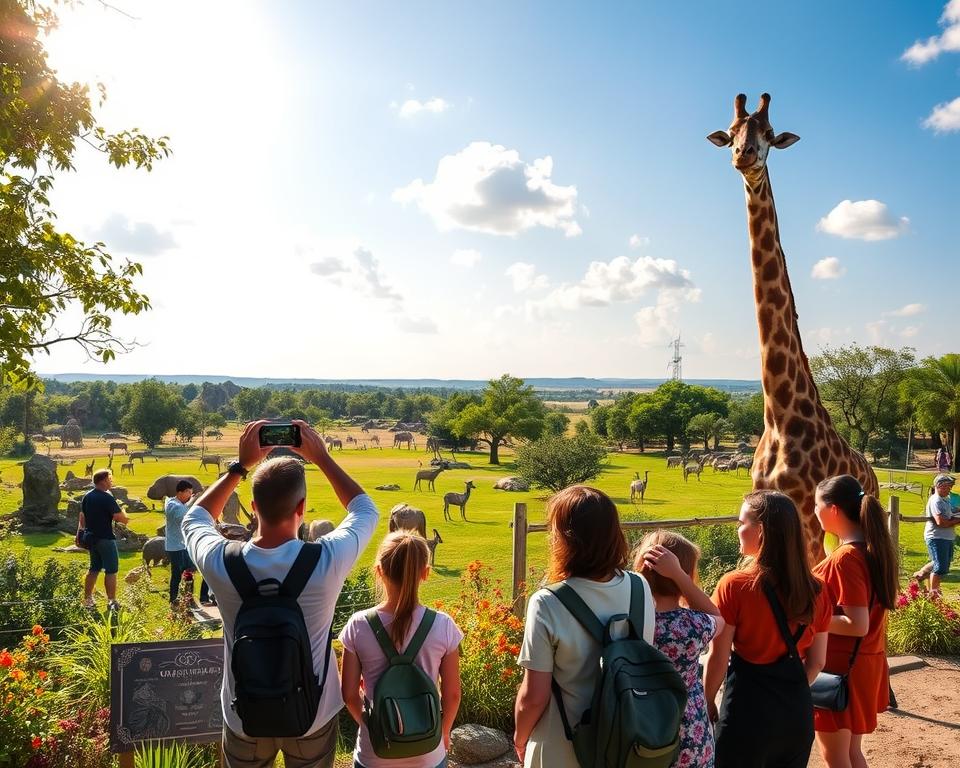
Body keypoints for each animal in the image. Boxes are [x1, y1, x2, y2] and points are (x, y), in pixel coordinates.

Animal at [707, 92, 878, 563]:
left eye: (767, 133)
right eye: (731, 132)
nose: (743, 155)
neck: (780, 415)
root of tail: (872, 471)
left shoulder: (807, 516)